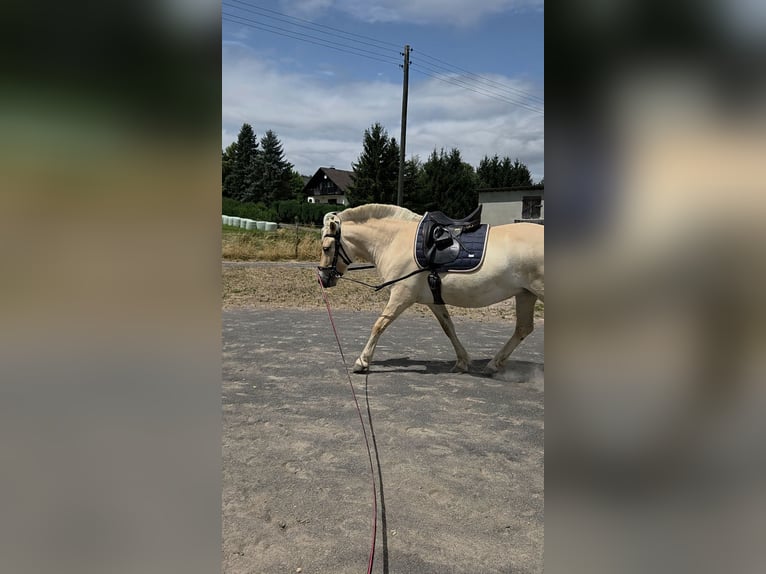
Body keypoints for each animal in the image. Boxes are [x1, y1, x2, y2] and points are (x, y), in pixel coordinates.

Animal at [316, 204, 544, 374]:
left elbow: (379, 325)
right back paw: (494, 364)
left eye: (326, 248)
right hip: (525, 295)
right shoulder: (433, 300)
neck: (395, 241)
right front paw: (462, 362)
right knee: (523, 329)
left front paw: (362, 362)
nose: (322, 279)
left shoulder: (401, 296)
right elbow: (448, 327)